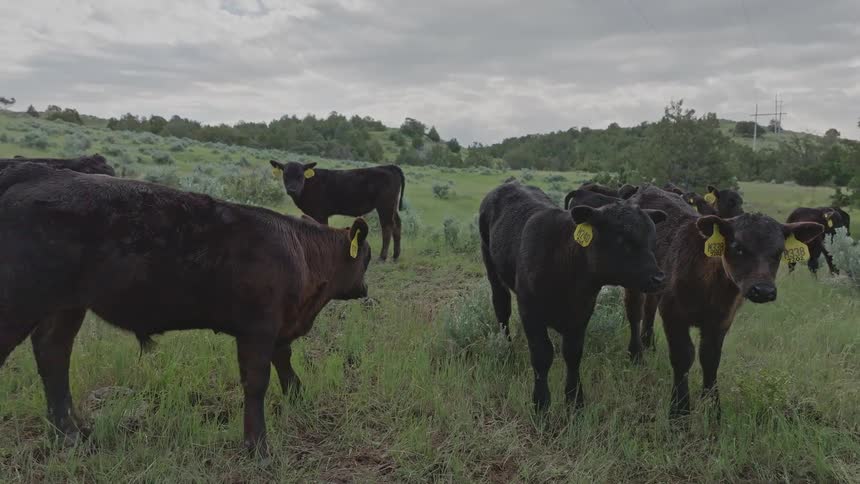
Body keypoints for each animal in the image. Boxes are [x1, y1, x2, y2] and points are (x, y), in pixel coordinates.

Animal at [0, 163, 373, 457]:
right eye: (366, 257)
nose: (364, 289)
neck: (299, 250)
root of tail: (38, 171)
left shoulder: (280, 326)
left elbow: (284, 361)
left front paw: (297, 398)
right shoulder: (258, 329)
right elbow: (256, 382)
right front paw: (258, 447)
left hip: (65, 306)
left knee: (53, 354)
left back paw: (73, 433)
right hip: (20, 302)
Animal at [270, 160, 405, 261]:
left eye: (300, 175)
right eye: (285, 175)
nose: (292, 190)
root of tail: (389, 166)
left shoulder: (320, 214)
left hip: (385, 205)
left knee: (387, 226)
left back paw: (383, 257)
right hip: (393, 206)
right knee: (397, 224)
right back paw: (396, 255)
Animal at [479, 181, 666, 411]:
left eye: (652, 241)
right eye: (623, 239)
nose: (659, 278)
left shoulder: (582, 311)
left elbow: (573, 353)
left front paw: (575, 399)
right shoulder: (529, 311)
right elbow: (542, 355)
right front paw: (541, 403)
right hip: (492, 268)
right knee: (501, 309)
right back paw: (508, 350)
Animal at [623, 187, 822, 418]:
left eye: (779, 252)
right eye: (737, 246)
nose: (763, 290)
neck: (711, 287)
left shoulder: (721, 320)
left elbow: (710, 358)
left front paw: (713, 409)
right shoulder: (673, 314)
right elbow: (683, 356)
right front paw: (679, 410)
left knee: (649, 307)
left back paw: (649, 344)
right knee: (634, 311)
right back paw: (636, 355)